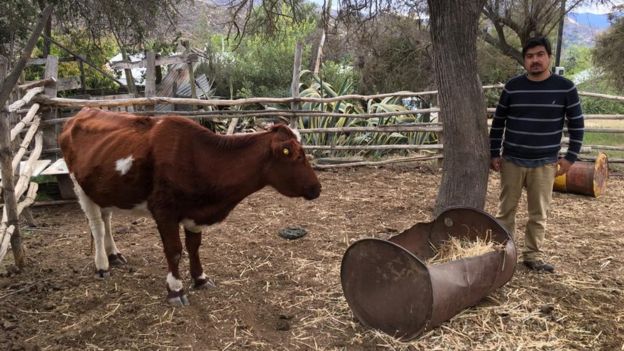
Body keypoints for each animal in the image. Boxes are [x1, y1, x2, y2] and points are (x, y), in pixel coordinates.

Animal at [59, 108, 322, 306]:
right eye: (296, 155)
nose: (317, 188)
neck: (200, 158)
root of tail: (83, 111)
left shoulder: (196, 212)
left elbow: (194, 246)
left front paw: (201, 279)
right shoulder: (164, 210)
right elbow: (174, 250)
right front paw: (175, 289)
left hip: (104, 190)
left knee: (106, 220)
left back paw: (114, 255)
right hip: (80, 187)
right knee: (97, 226)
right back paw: (102, 265)